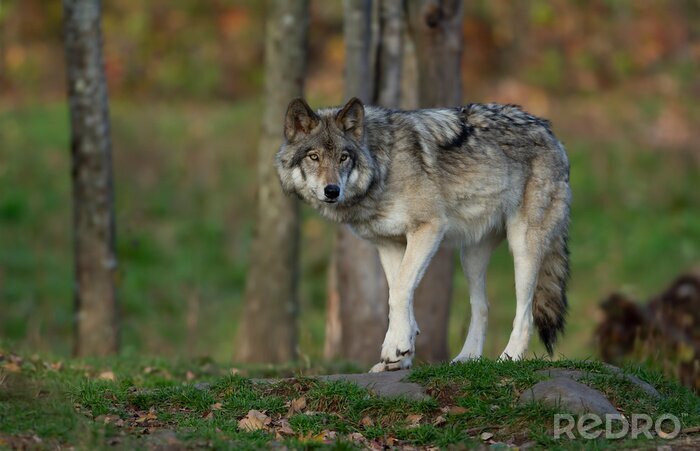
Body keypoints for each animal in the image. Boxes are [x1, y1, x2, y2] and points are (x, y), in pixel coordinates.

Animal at [275, 97, 570, 372]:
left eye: (343, 157)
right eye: (313, 157)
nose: (332, 190)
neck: (383, 166)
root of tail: (550, 132)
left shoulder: (429, 228)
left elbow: (400, 291)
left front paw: (395, 347)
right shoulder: (389, 244)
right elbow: (399, 293)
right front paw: (400, 354)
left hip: (523, 248)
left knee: (525, 313)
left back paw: (509, 358)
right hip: (470, 257)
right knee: (482, 307)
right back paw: (467, 359)